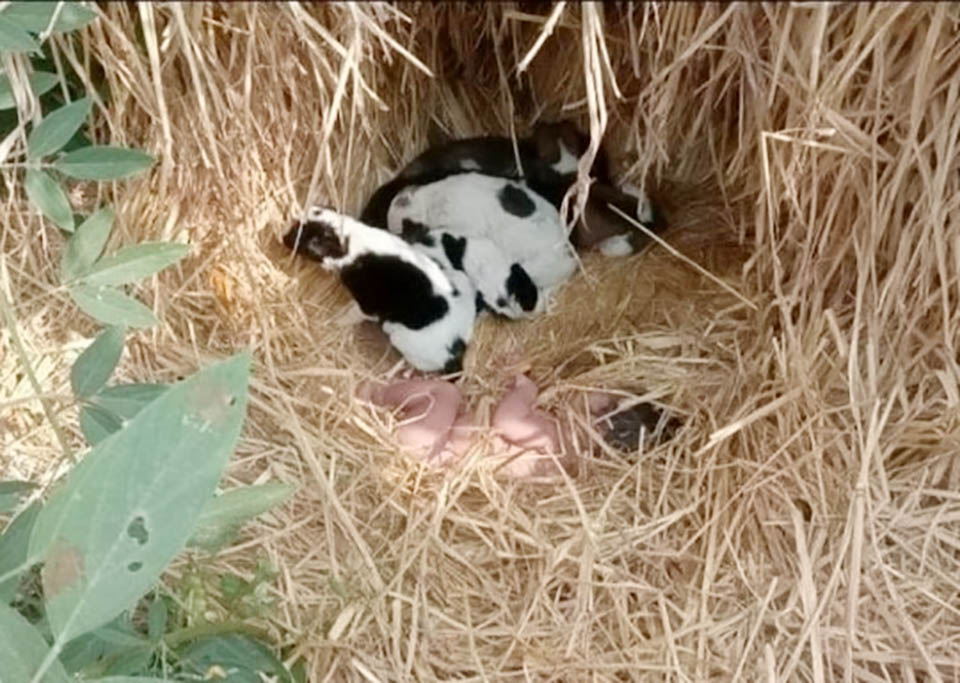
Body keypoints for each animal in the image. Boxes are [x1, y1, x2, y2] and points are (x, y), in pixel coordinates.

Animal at [284, 208, 480, 374]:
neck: (353, 240)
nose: (284, 238)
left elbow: (350, 315)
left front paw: (336, 321)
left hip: (401, 338)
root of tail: (457, 350)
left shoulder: (368, 305)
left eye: (309, 241)